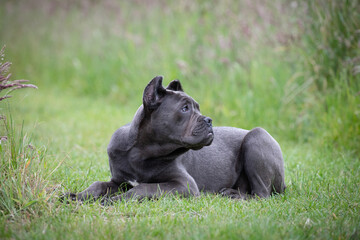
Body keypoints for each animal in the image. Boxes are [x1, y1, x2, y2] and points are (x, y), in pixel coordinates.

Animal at [63, 75, 286, 202]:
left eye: (198, 108)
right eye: (185, 108)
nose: (209, 120)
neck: (141, 152)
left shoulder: (183, 184)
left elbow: (143, 188)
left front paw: (113, 200)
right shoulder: (118, 180)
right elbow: (99, 185)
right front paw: (77, 196)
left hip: (257, 137)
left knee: (261, 195)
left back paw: (234, 195)